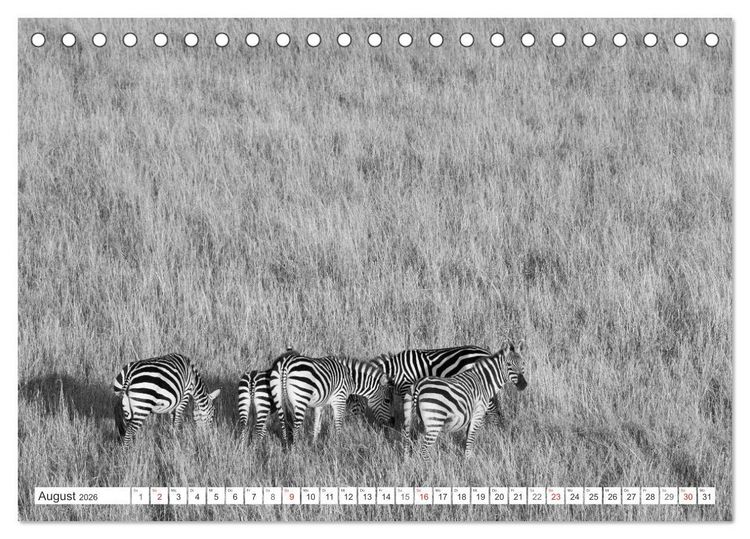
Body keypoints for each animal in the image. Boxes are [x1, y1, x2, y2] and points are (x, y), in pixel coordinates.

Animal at [373, 345, 507, 434]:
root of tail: (487, 353)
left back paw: (492, 433)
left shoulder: (407, 387)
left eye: (387, 401)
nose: (390, 424)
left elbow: (410, 412)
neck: (396, 371)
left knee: (493, 412)